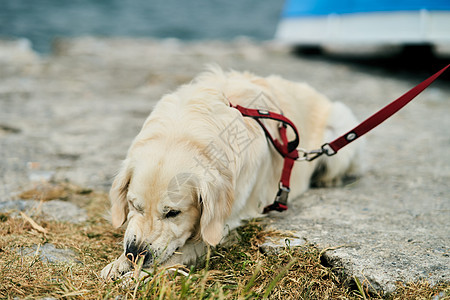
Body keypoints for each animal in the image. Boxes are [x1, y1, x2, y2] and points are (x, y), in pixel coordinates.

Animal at [100, 67, 364, 278]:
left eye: (173, 213)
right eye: (134, 206)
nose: (135, 254)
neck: (183, 133)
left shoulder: (226, 224)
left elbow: (183, 251)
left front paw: (136, 275)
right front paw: (119, 263)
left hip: (340, 124)